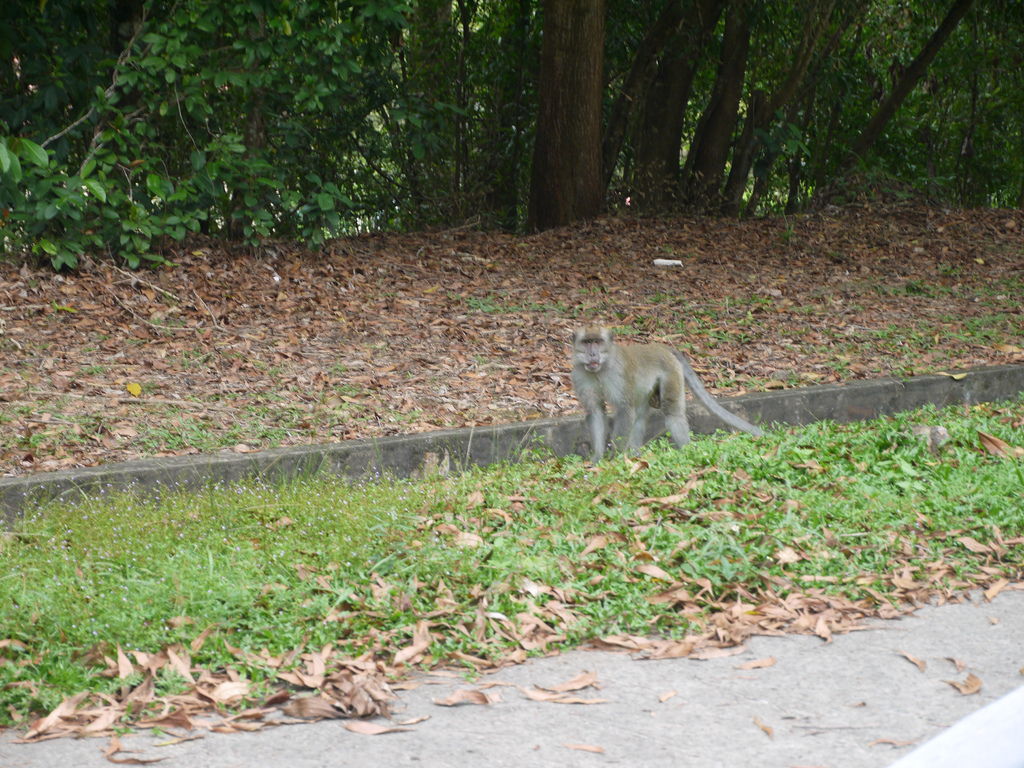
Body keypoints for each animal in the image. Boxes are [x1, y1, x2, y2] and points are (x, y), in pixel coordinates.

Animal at [573, 325, 765, 462]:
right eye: (587, 342)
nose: (592, 354)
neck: (600, 370)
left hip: (671, 373)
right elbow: (596, 412)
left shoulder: (618, 375)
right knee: (640, 416)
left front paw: (615, 457)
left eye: (597, 341)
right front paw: (597, 458)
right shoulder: (580, 376)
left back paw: (685, 450)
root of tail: (659, 346)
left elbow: (624, 410)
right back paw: (635, 454)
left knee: (673, 413)